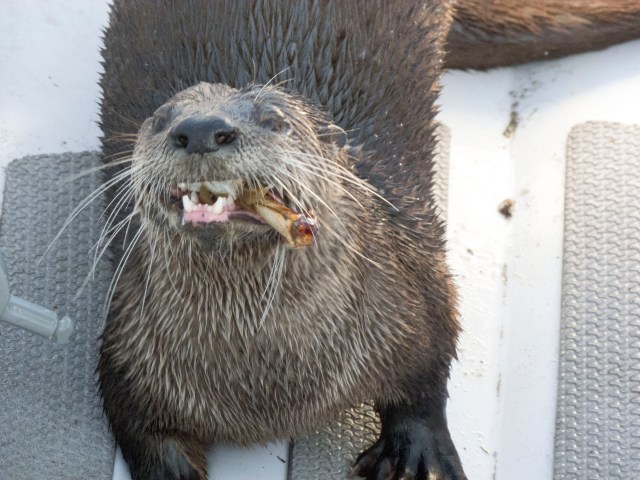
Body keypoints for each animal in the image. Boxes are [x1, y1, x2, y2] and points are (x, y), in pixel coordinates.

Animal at [96, 1, 640, 479]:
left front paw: (417, 452)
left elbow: (426, 375)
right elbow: (144, 433)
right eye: (161, 119)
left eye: (275, 119)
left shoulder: (415, 286)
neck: (273, 386)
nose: (202, 128)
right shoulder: (129, 351)